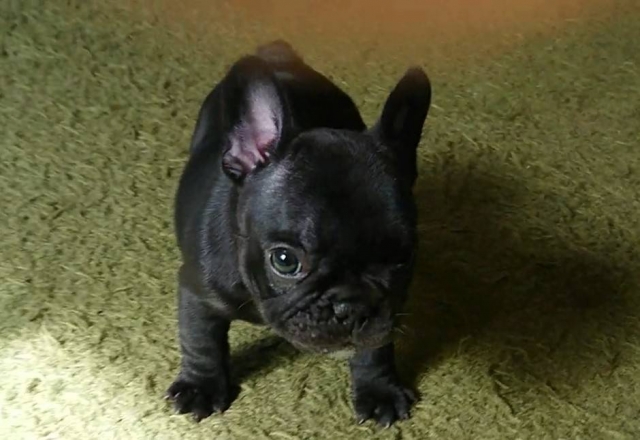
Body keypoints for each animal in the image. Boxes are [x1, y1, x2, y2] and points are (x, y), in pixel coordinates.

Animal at [165, 40, 431, 427]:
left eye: (404, 258)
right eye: (285, 260)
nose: (350, 307)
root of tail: (278, 54)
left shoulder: (386, 313)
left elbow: (375, 347)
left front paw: (379, 389)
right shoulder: (198, 293)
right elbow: (201, 340)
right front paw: (200, 386)